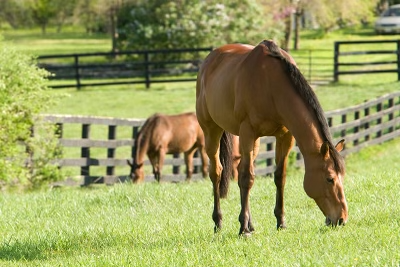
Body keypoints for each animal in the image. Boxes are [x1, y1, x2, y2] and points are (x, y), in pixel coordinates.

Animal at [196, 39, 346, 237]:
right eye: (329, 178)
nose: (342, 219)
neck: (271, 86)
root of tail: (209, 60)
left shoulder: (285, 136)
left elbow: (278, 176)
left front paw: (280, 222)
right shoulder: (247, 132)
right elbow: (247, 178)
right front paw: (243, 229)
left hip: (254, 142)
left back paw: (250, 223)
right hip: (211, 130)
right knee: (217, 173)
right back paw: (218, 222)